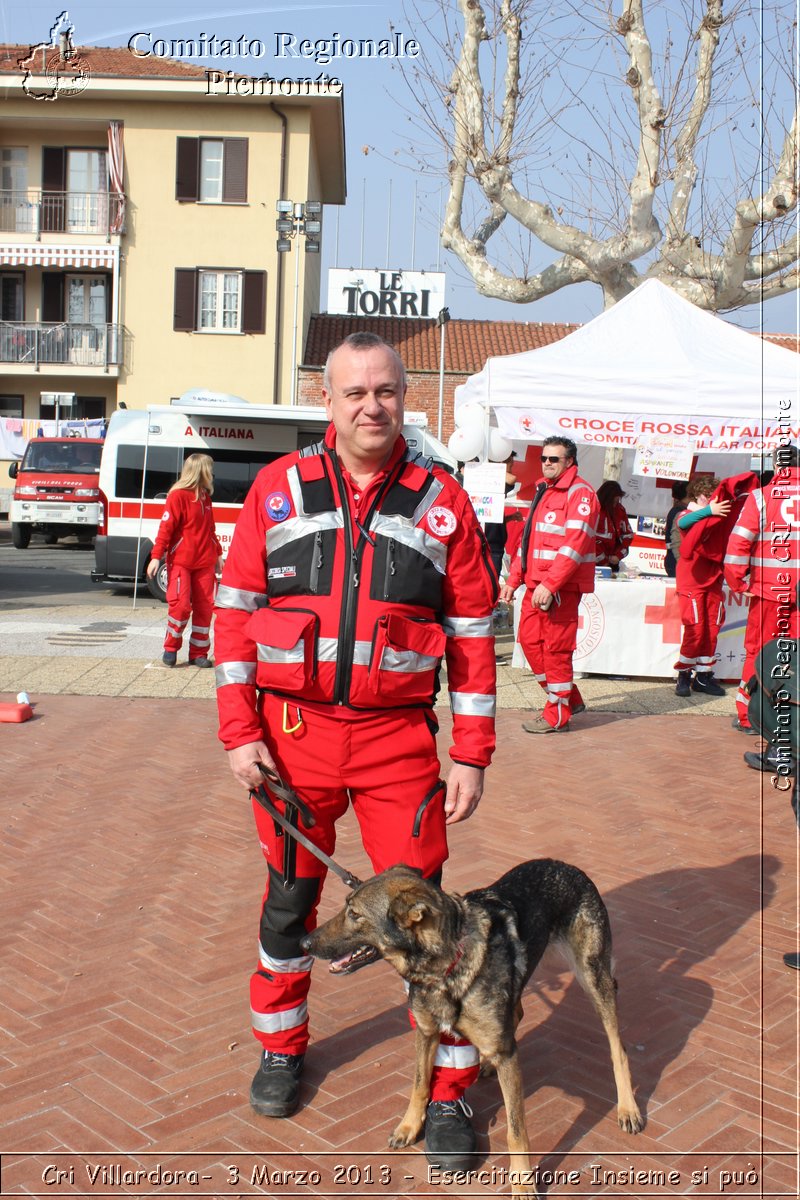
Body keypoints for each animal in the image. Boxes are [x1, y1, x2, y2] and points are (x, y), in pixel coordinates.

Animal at [299, 859, 642, 1195]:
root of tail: (570, 867)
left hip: (594, 979)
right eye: (347, 907)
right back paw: (487, 1063)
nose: (304, 943)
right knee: (516, 1013)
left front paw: (522, 1181)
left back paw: (628, 1108)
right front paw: (409, 1127)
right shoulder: (426, 1032)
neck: (443, 967)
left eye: (355, 914)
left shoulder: (500, 1056)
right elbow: (419, 1085)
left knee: (618, 1048)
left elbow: (516, 1131)